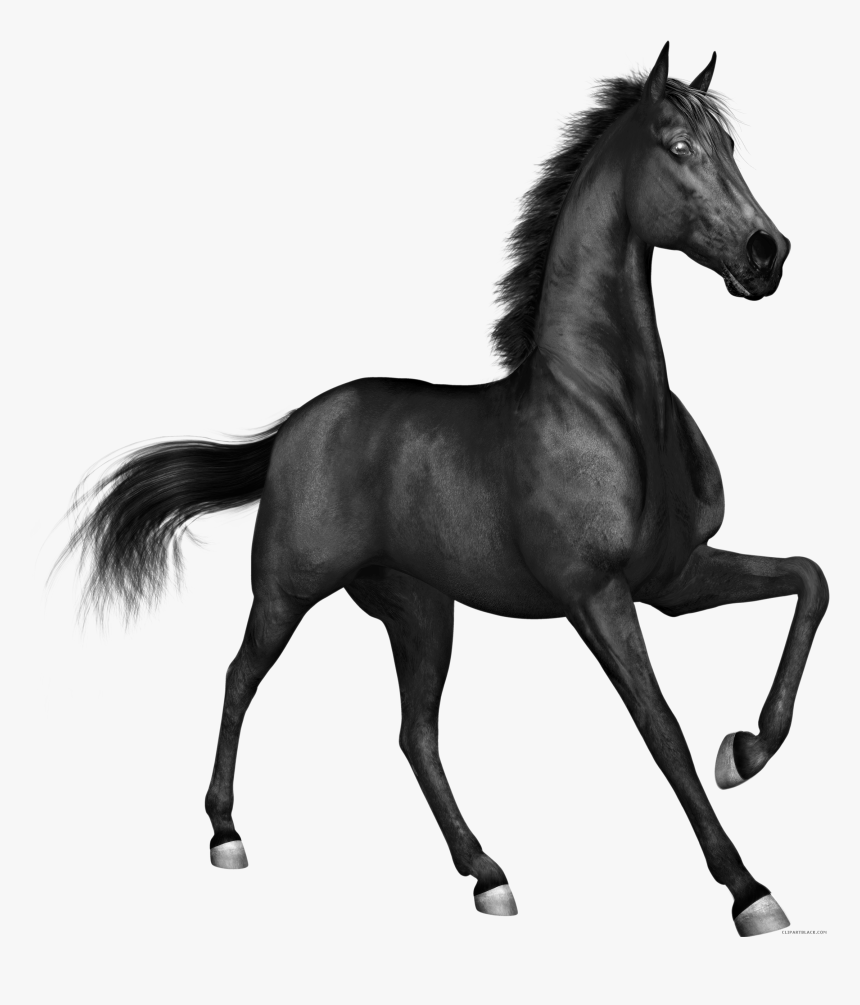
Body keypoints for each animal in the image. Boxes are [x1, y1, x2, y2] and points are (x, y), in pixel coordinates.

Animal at [61, 43, 828, 937]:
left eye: (731, 147)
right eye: (677, 147)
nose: (767, 253)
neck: (609, 409)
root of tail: (297, 425)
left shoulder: (673, 577)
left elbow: (811, 581)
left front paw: (746, 750)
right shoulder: (597, 594)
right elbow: (660, 723)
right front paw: (749, 889)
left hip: (421, 610)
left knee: (414, 733)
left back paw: (488, 875)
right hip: (288, 591)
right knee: (239, 677)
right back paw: (226, 833)